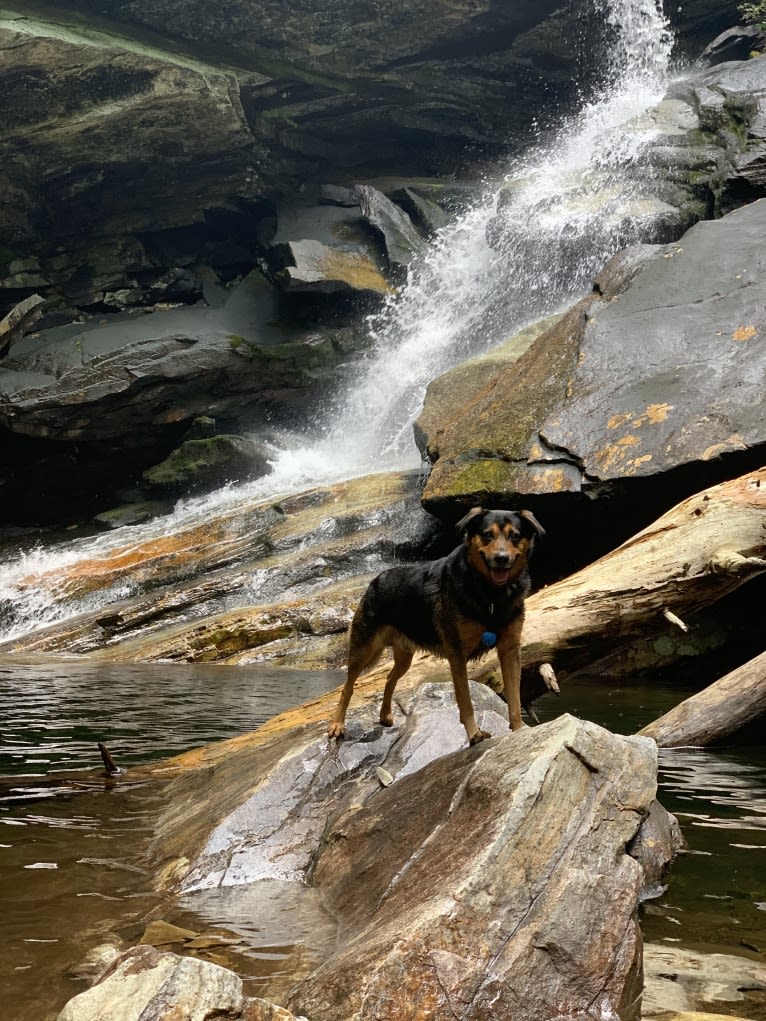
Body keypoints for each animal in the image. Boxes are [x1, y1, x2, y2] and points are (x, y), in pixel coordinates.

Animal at [326, 506, 543, 747]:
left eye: (515, 536)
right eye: (488, 535)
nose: (501, 559)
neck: (491, 595)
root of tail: (376, 579)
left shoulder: (510, 650)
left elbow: (514, 697)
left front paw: (519, 730)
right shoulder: (457, 653)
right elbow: (466, 701)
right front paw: (474, 734)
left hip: (404, 657)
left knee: (389, 678)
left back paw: (385, 714)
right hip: (364, 649)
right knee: (347, 687)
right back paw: (337, 725)